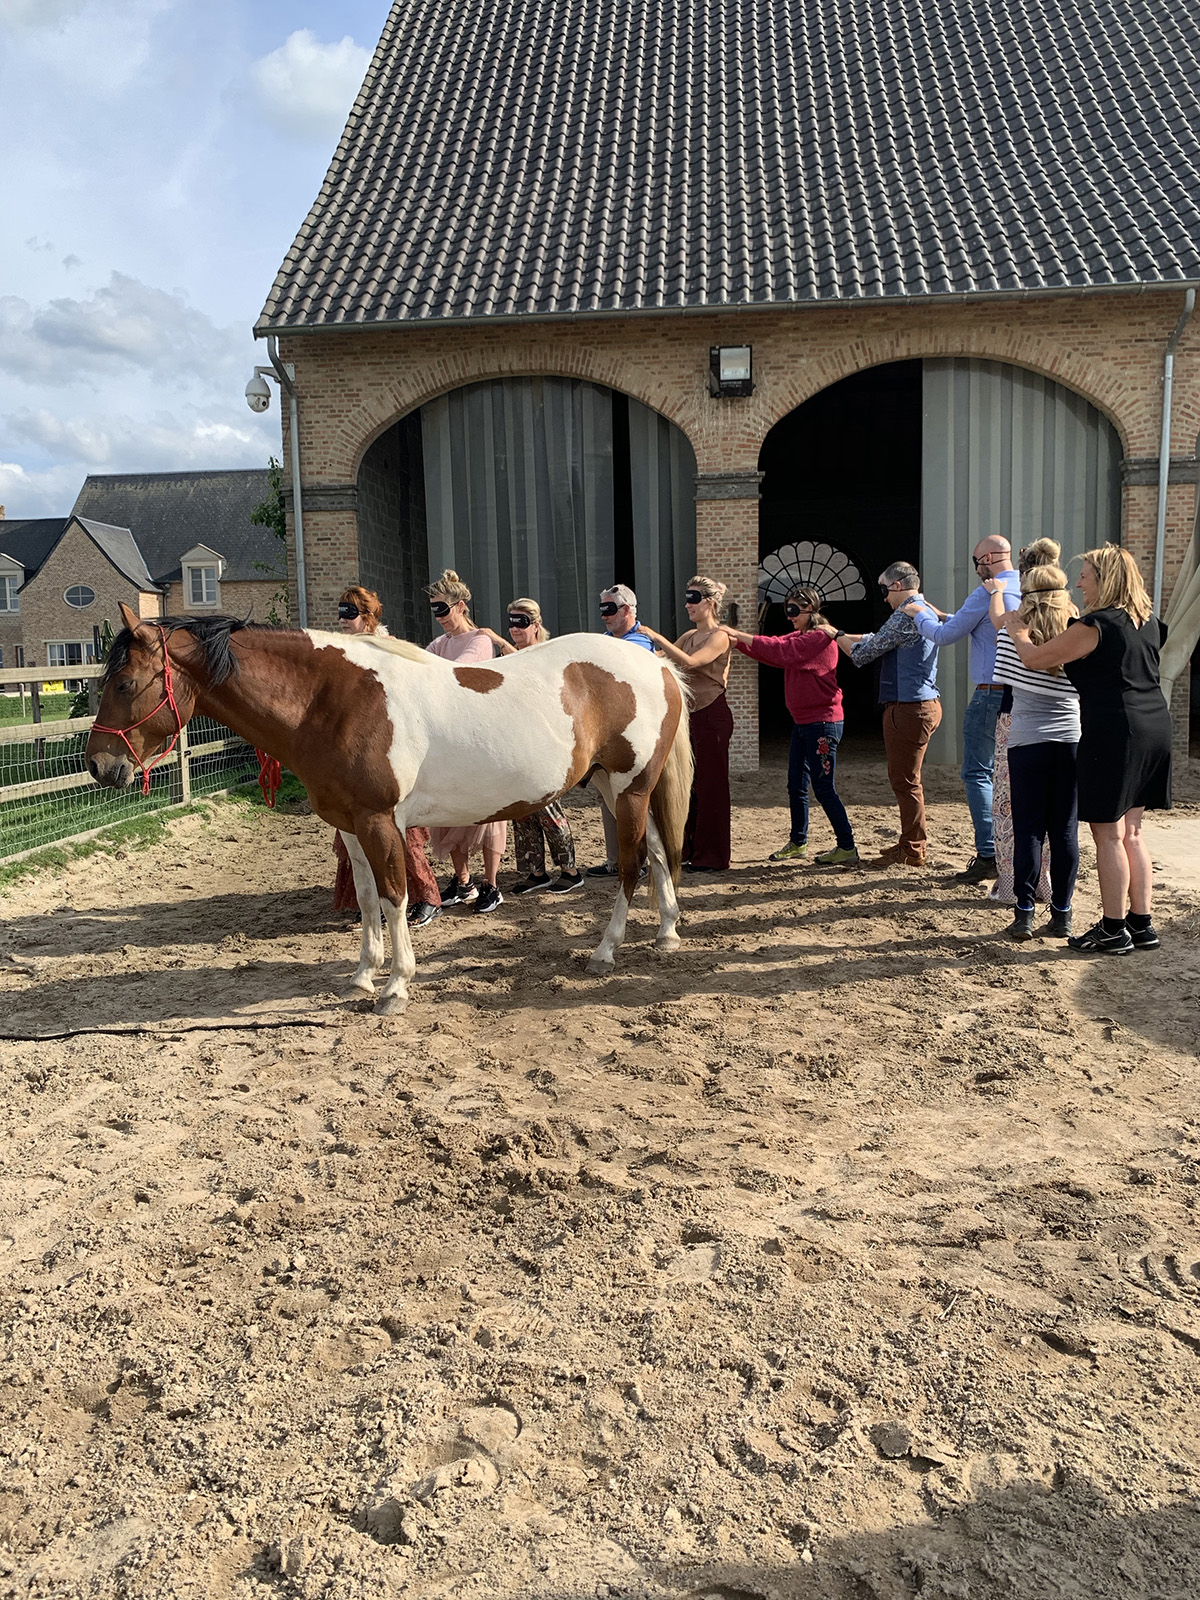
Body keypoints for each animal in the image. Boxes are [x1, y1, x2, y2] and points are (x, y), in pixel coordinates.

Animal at [89, 601, 694, 1011]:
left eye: (126, 683)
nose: (99, 766)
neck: (330, 700)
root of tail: (658, 665)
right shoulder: (350, 826)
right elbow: (365, 898)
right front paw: (362, 975)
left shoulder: (381, 822)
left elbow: (396, 895)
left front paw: (396, 986)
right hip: (617, 789)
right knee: (658, 853)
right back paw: (667, 933)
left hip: (629, 789)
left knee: (632, 865)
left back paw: (605, 951)